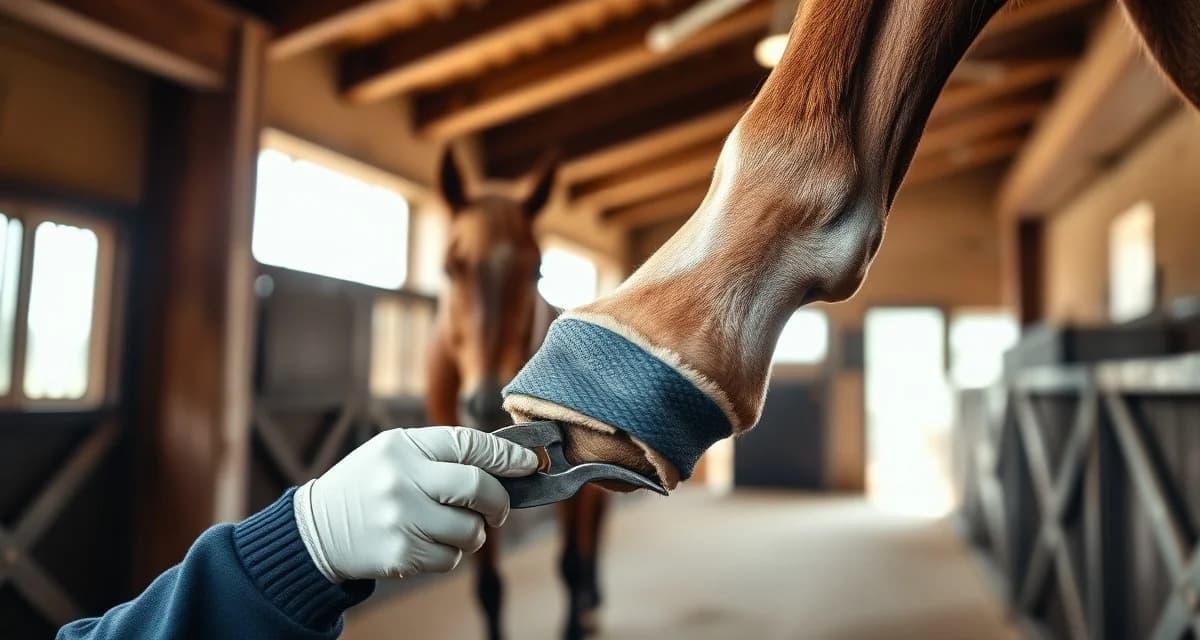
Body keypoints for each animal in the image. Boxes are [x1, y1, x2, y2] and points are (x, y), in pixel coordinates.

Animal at [425, 148, 609, 640]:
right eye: (450, 267)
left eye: (536, 270)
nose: (486, 403)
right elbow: (489, 587)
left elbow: (569, 562)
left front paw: (574, 624)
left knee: (593, 535)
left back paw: (592, 602)